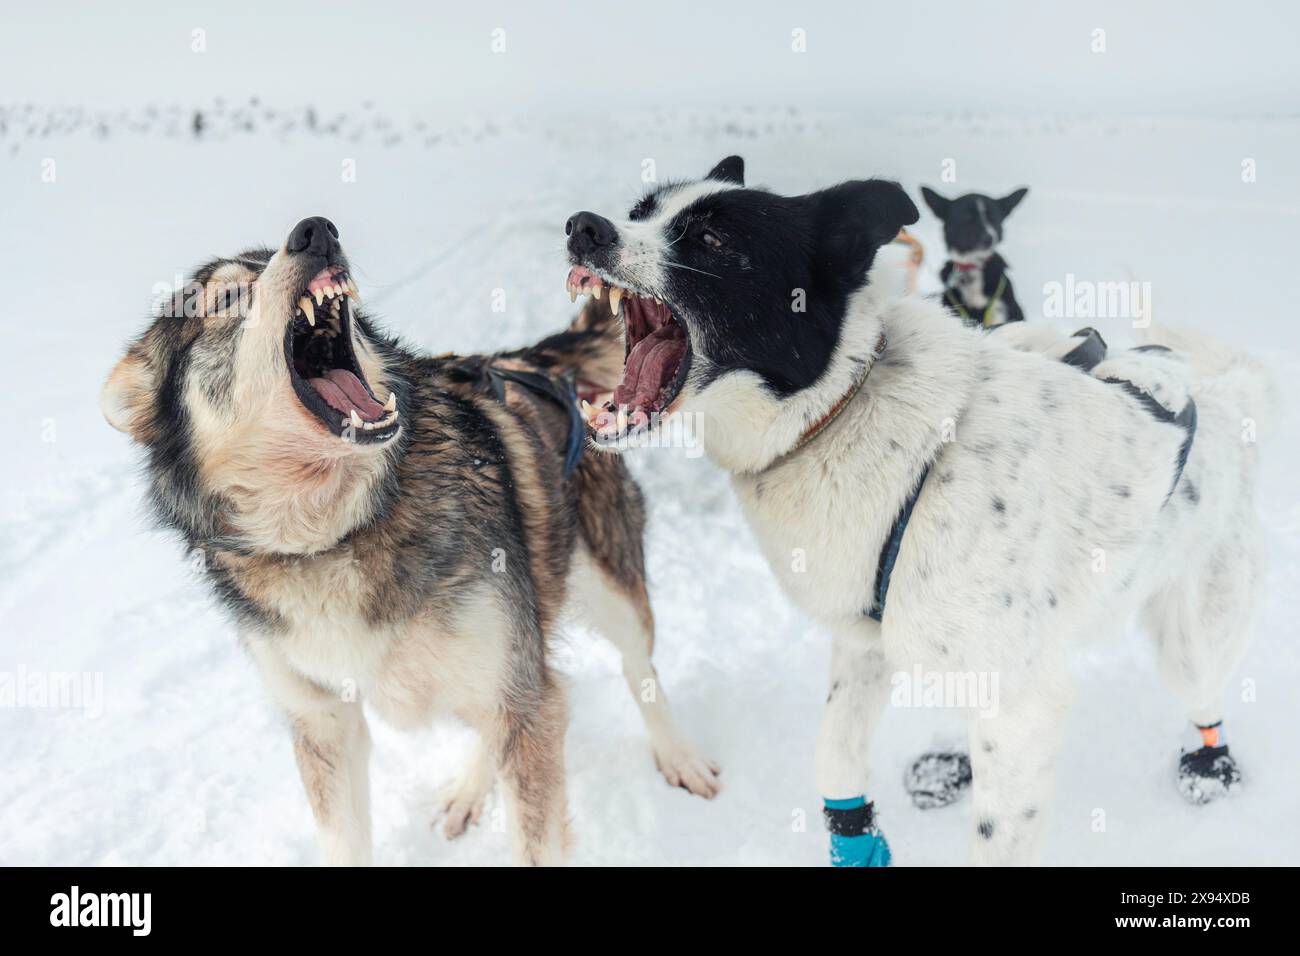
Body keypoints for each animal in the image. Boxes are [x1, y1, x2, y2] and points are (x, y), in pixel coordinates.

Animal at [101, 214, 722, 868]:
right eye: (225, 300)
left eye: (270, 258)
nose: (315, 231)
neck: (338, 532)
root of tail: (530, 358)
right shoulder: (324, 724)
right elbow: (344, 841)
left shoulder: (521, 699)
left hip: (608, 593)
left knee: (639, 671)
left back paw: (678, 757)